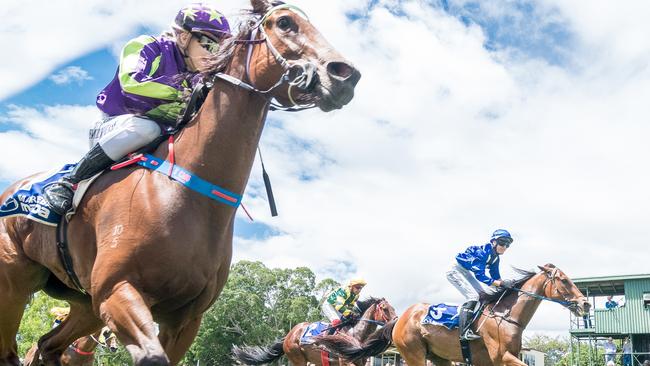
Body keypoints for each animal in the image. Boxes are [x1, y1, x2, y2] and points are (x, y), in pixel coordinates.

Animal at [0, 0, 360, 364]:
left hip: (84, 303)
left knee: (48, 345)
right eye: (285, 23)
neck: (185, 193)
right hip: (14, 283)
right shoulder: (118, 291)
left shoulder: (185, 318)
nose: (346, 74)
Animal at [233, 298, 394, 366]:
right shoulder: (344, 361)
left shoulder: (361, 361)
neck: (356, 334)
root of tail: (289, 335)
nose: (395, 321)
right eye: (384, 308)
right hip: (298, 358)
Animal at [316, 264, 588, 366]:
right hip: (413, 354)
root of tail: (401, 318)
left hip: (438, 358)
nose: (585, 303)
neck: (506, 316)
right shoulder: (502, 356)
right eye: (564, 280)